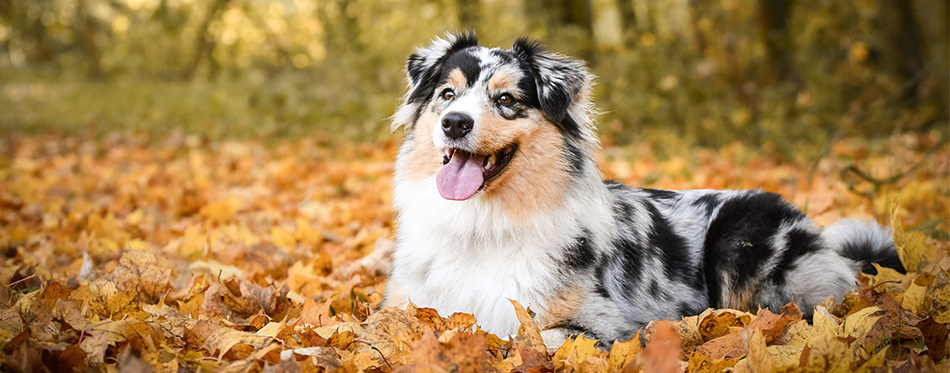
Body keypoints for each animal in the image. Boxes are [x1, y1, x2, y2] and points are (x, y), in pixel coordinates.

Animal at [384, 33, 908, 348]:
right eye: (447, 95)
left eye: (507, 99)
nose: (455, 123)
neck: (481, 223)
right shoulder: (407, 307)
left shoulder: (605, 324)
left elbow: (535, 336)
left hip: (744, 238)